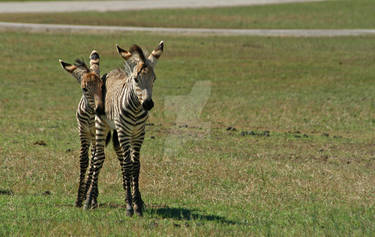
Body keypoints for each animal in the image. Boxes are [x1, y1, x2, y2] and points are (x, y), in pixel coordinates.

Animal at [58, 50, 106, 207]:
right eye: (84, 89)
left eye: (102, 86)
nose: (100, 110)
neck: (91, 114)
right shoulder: (83, 131)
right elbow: (84, 160)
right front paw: (79, 198)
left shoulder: (96, 133)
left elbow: (95, 161)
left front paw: (88, 196)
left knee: (98, 159)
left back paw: (92, 195)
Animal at [85, 41, 164, 217]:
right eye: (135, 79)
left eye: (154, 79)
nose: (148, 104)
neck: (135, 109)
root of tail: (113, 71)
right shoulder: (124, 132)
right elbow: (128, 165)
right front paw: (129, 207)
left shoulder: (139, 134)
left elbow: (135, 166)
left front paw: (137, 204)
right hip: (103, 125)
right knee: (98, 158)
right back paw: (89, 200)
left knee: (120, 157)